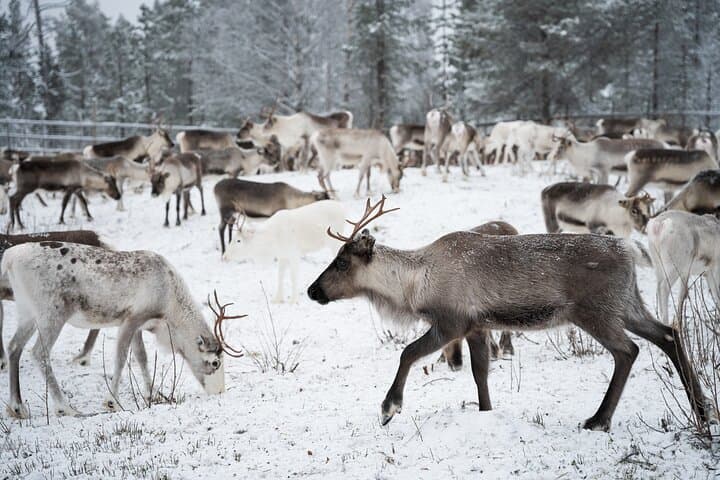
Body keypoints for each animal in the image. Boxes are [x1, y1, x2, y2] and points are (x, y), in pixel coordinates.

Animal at [0, 241, 242, 418]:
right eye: (215, 362)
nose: (219, 391)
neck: (169, 304)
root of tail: (9, 258)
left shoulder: (138, 327)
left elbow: (142, 357)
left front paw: (151, 394)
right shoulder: (131, 319)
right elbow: (122, 357)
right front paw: (112, 402)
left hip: (27, 312)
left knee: (14, 347)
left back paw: (18, 407)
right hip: (52, 313)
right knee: (39, 353)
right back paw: (65, 407)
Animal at [307, 196, 708, 431]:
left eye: (341, 262)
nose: (312, 291)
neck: (415, 285)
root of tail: (629, 250)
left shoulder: (451, 322)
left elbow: (407, 353)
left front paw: (390, 408)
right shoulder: (476, 327)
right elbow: (480, 374)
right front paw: (486, 412)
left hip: (597, 310)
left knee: (628, 351)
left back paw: (598, 419)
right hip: (627, 303)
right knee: (668, 333)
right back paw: (702, 409)